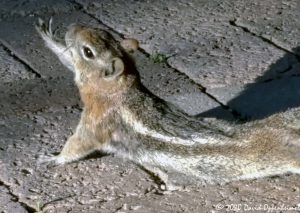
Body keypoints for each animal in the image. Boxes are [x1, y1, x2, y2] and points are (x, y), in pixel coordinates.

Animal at [35, 18, 300, 190]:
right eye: (102, 30)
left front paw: (53, 158)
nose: (72, 27)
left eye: (88, 52)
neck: (122, 89)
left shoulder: (95, 122)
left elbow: (77, 145)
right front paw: (48, 36)